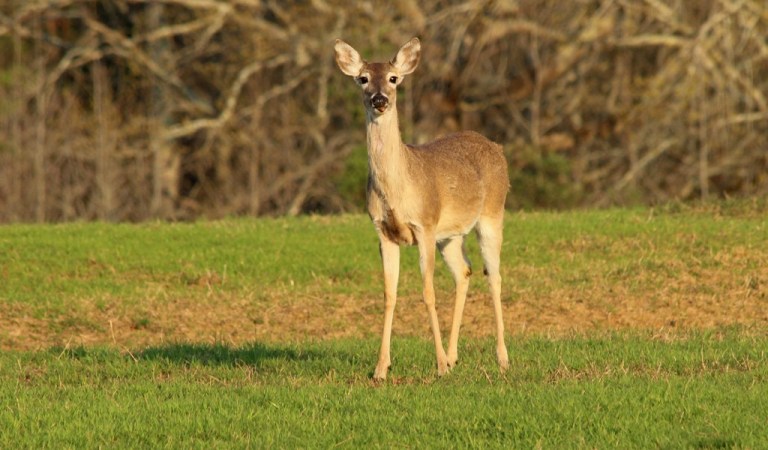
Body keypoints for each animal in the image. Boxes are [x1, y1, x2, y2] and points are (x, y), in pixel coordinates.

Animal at [334, 37, 509, 380]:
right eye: (362, 78)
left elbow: (428, 292)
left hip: (492, 214)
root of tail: (497, 148)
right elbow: (389, 294)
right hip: (450, 235)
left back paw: (502, 359)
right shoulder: (383, 231)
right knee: (464, 272)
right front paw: (380, 368)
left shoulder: (424, 224)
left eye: (393, 78)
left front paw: (439, 366)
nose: (379, 100)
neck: (398, 189)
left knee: (493, 275)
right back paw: (455, 356)